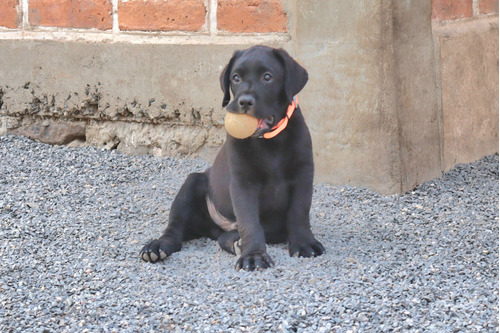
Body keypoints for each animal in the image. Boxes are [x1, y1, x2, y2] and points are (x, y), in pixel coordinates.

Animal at [140, 45, 324, 270]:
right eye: (236, 78)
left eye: (267, 77)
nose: (244, 101)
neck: (269, 140)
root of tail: (211, 229)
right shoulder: (243, 182)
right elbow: (249, 222)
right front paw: (254, 255)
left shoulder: (303, 174)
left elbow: (299, 211)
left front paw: (304, 243)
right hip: (191, 183)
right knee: (175, 229)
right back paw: (158, 247)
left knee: (225, 237)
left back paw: (233, 241)